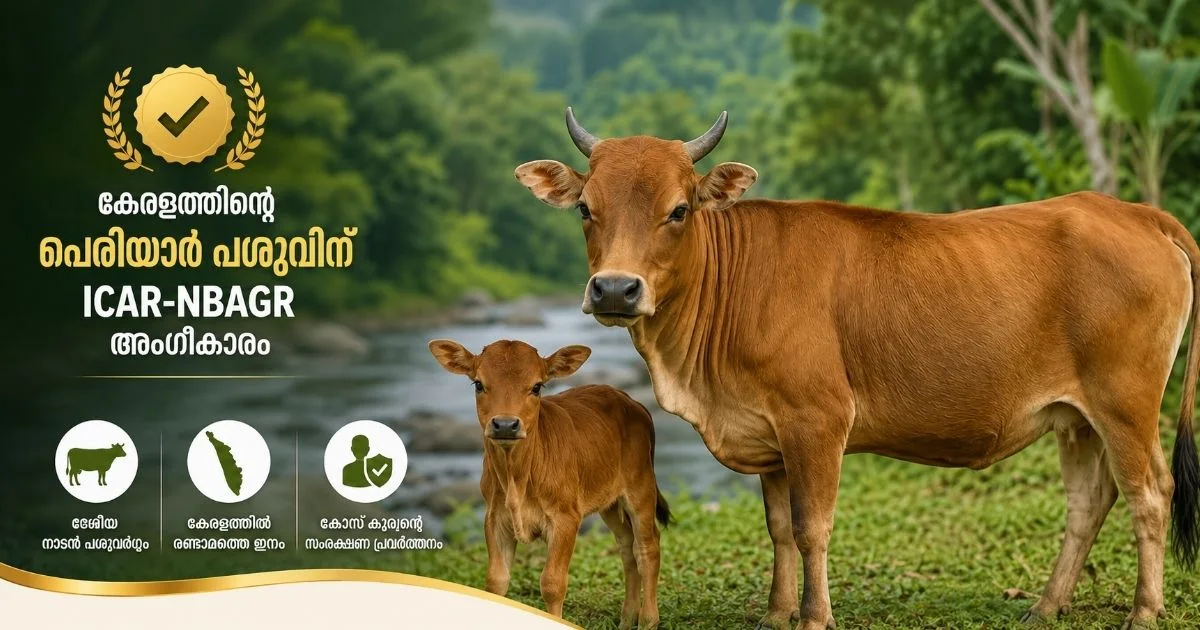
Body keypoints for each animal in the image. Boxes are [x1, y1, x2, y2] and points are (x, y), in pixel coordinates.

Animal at [428, 339, 671, 629]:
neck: (517, 476)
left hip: (640, 488)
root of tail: (633, 402)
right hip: (610, 502)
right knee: (627, 548)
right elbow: (496, 582)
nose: (505, 425)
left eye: (537, 386)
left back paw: (647, 619)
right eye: (478, 384)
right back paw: (626, 619)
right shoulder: (495, 518)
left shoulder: (565, 518)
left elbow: (552, 583)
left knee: (647, 548)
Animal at [512, 108, 1200, 630]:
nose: (614, 289)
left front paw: (815, 617)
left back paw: (1144, 612)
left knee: (1148, 493)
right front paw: (776, 615)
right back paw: (1046, 606)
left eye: (679, 209)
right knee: (1090, 500)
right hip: (1076, 417)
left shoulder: (816, 420)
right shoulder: (770, 437)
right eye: (585, 209)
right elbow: (779, 530)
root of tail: (1135, 212)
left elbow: (812, 527)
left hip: (1125, 403)